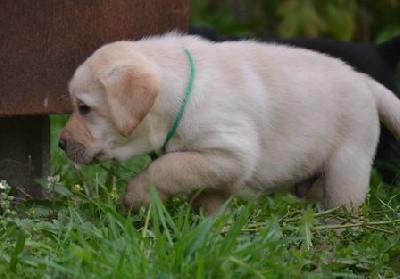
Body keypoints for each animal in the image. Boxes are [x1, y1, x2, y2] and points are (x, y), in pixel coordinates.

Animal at [58, 34, 400, 215]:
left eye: (84, 108)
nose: (60, 143)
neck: (183, 91)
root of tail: (365, 81)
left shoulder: (231, 152)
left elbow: (167, 167)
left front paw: (137, 196)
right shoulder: (217, 168)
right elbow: (203, 194)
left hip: (347, 170)